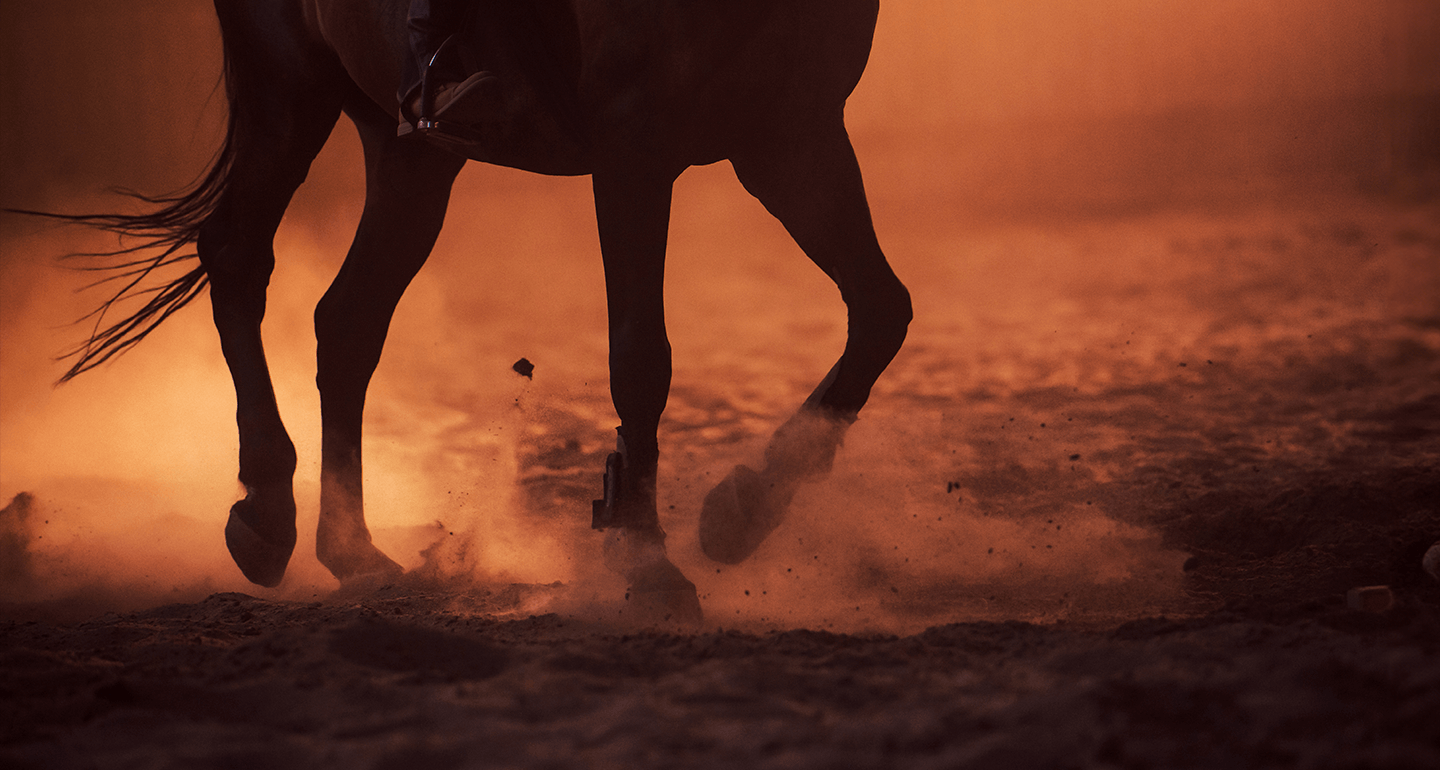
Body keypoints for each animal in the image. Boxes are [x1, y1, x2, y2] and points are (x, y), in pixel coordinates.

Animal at [36, 0, 910, 624]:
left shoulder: (791, 134)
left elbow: (882, 312)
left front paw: (741, 511)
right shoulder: (634, 144)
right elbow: (640, 354)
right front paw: (647, 562)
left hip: (409, 149)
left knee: (348, 321)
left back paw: (353, 552)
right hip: (284, 87)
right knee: (239, 259)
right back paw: (265, 514)